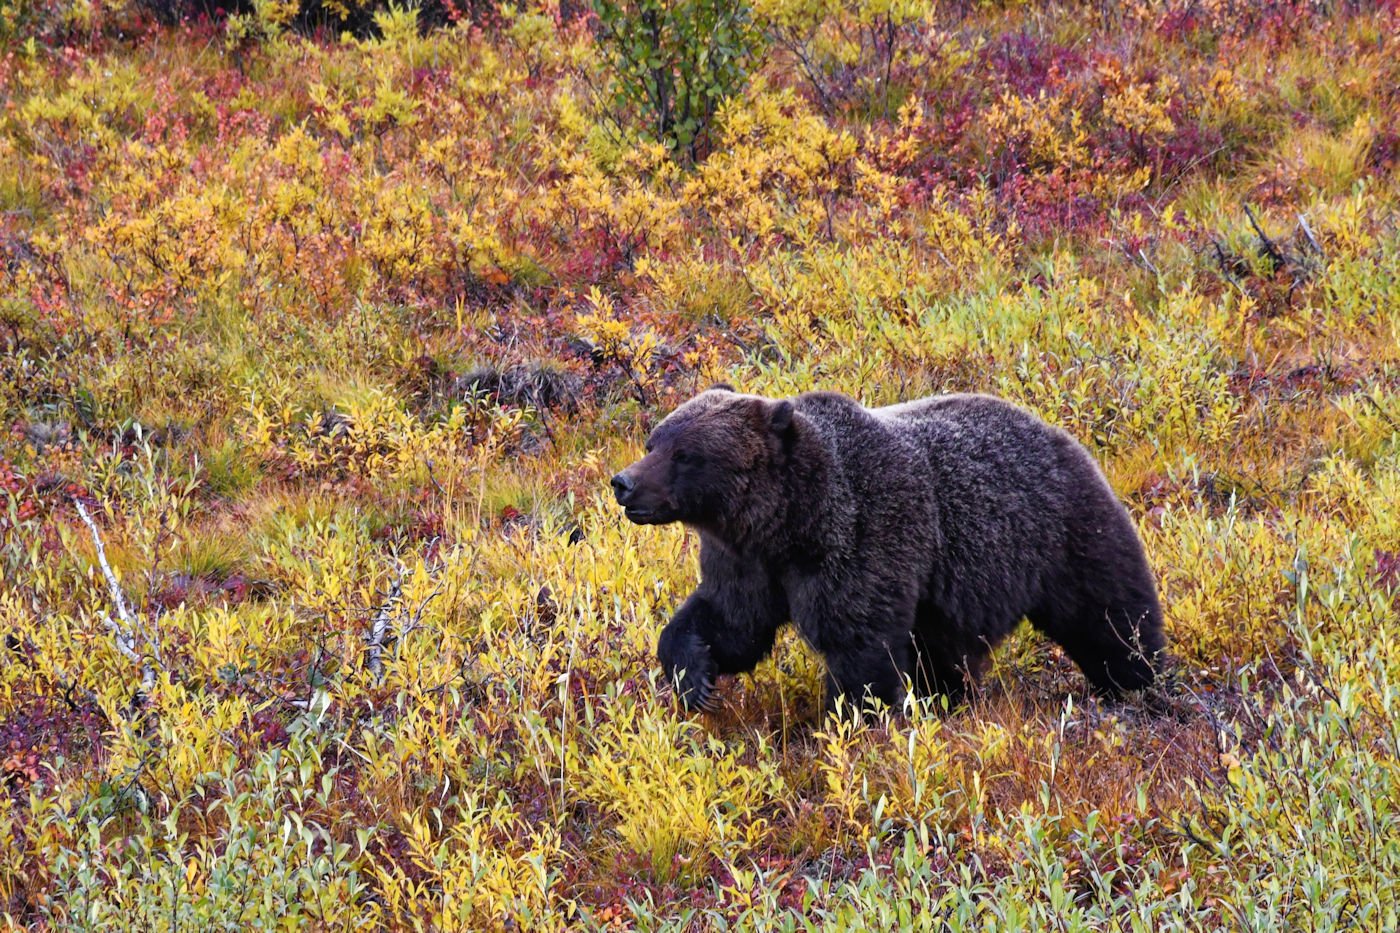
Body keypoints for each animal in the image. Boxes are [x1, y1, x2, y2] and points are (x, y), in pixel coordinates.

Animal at [613, 383, 1170, 711]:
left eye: (685, 455)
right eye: (654, 441)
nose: (624, 483)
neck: (791, 525)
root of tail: (1055, 428)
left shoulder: (864, 538)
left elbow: (858, 641)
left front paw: (854, 718)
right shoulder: (745, 560)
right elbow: (731, 623)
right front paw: (695, 678)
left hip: (1063, 531)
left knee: (1110, 614)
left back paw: (1140, 684)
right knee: (943, 653)